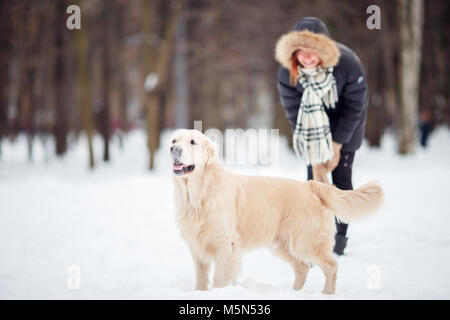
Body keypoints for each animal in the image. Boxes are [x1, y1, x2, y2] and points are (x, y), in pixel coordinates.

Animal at [171, 129, 382, 294]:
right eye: (174, 140)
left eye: (193, 142)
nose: (174, 150)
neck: (198, 194)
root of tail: (310, 186)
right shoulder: (197, 248)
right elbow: (201, 279)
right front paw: (200, 292)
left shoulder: (225, 244)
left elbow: (220, 278)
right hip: (283, 245)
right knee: (302, 268)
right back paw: (294, 293)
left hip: (305, 242)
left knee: (331, 266)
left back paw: (326, 293)